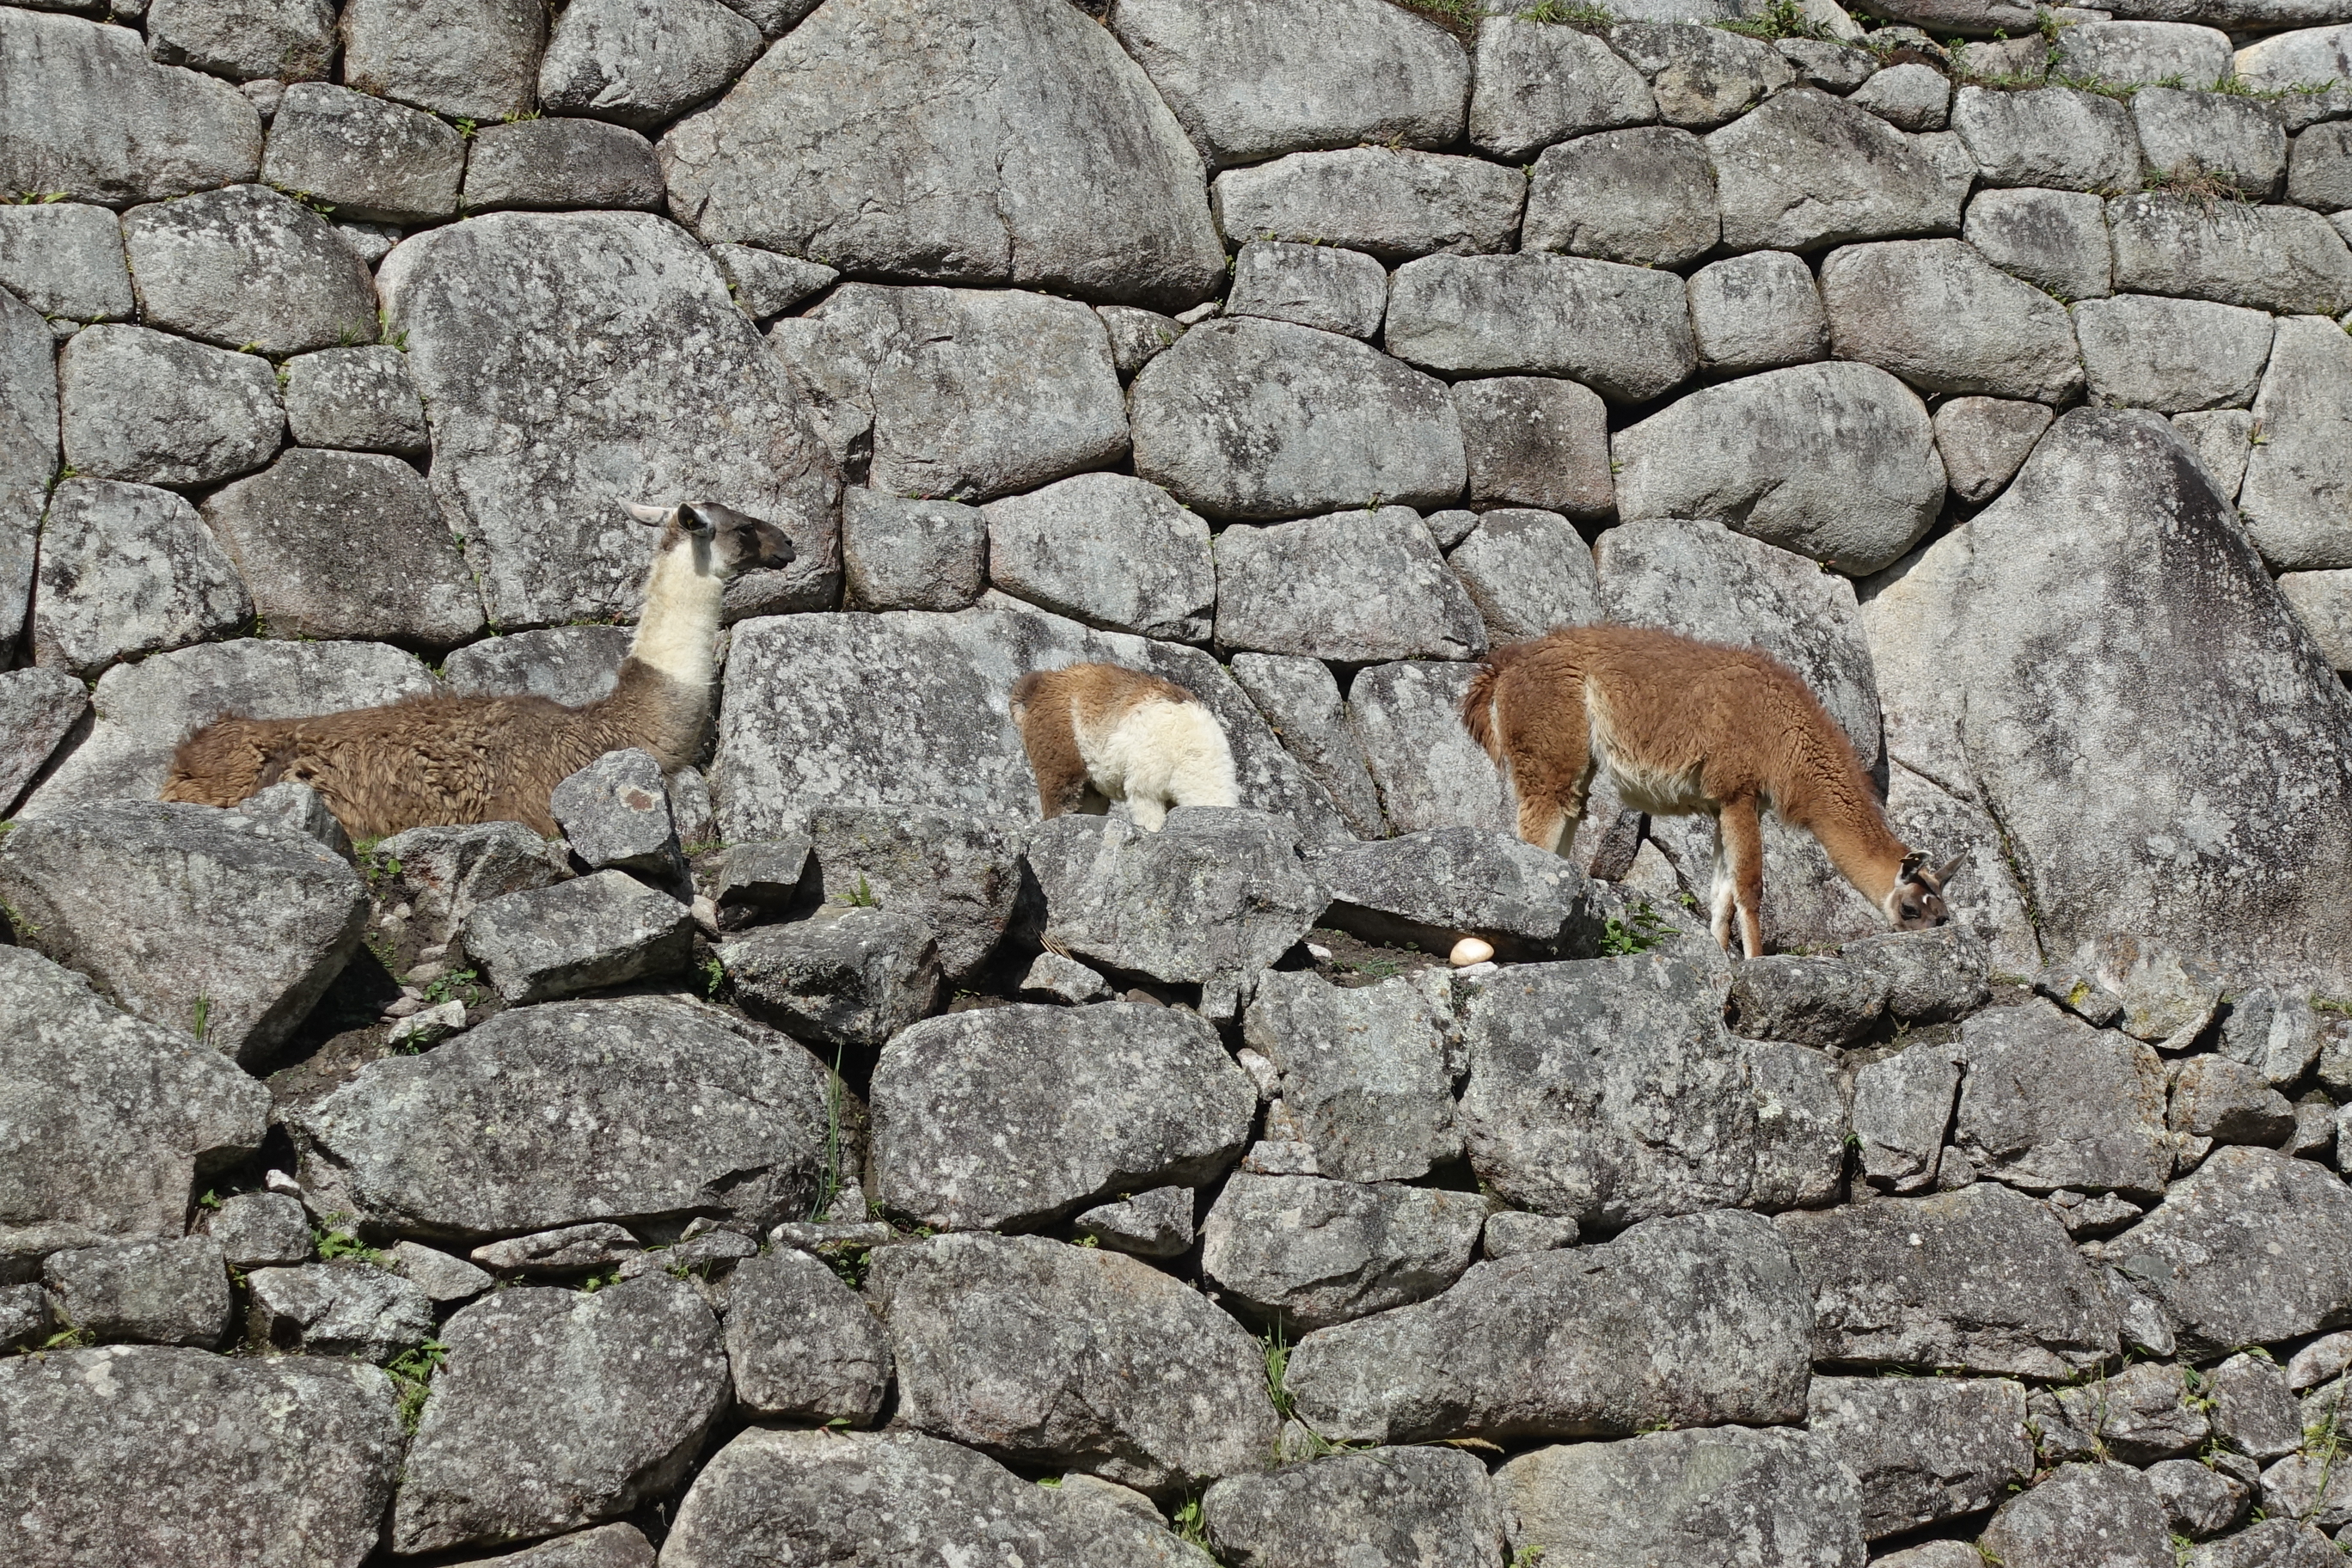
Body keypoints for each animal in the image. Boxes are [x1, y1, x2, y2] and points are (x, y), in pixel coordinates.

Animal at [1008, 662, 1239, 831]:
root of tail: (1041, 684)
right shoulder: (1146, 786)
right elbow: (1150, 820)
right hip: (1058, 754)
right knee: (1059, 800)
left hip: (1089, 782)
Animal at [1462, 625, 1961, 959]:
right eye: (1911, 909)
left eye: (1943, 916)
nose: (1932, 940)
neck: (1787, 739)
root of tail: (1504, 667)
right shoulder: (1739, 789)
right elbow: (1750, 886)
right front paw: (1756, 960)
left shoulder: (1726, 803)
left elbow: (1721, 890)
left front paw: (1719, 954)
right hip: (1549, 740)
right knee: (1537, 829)